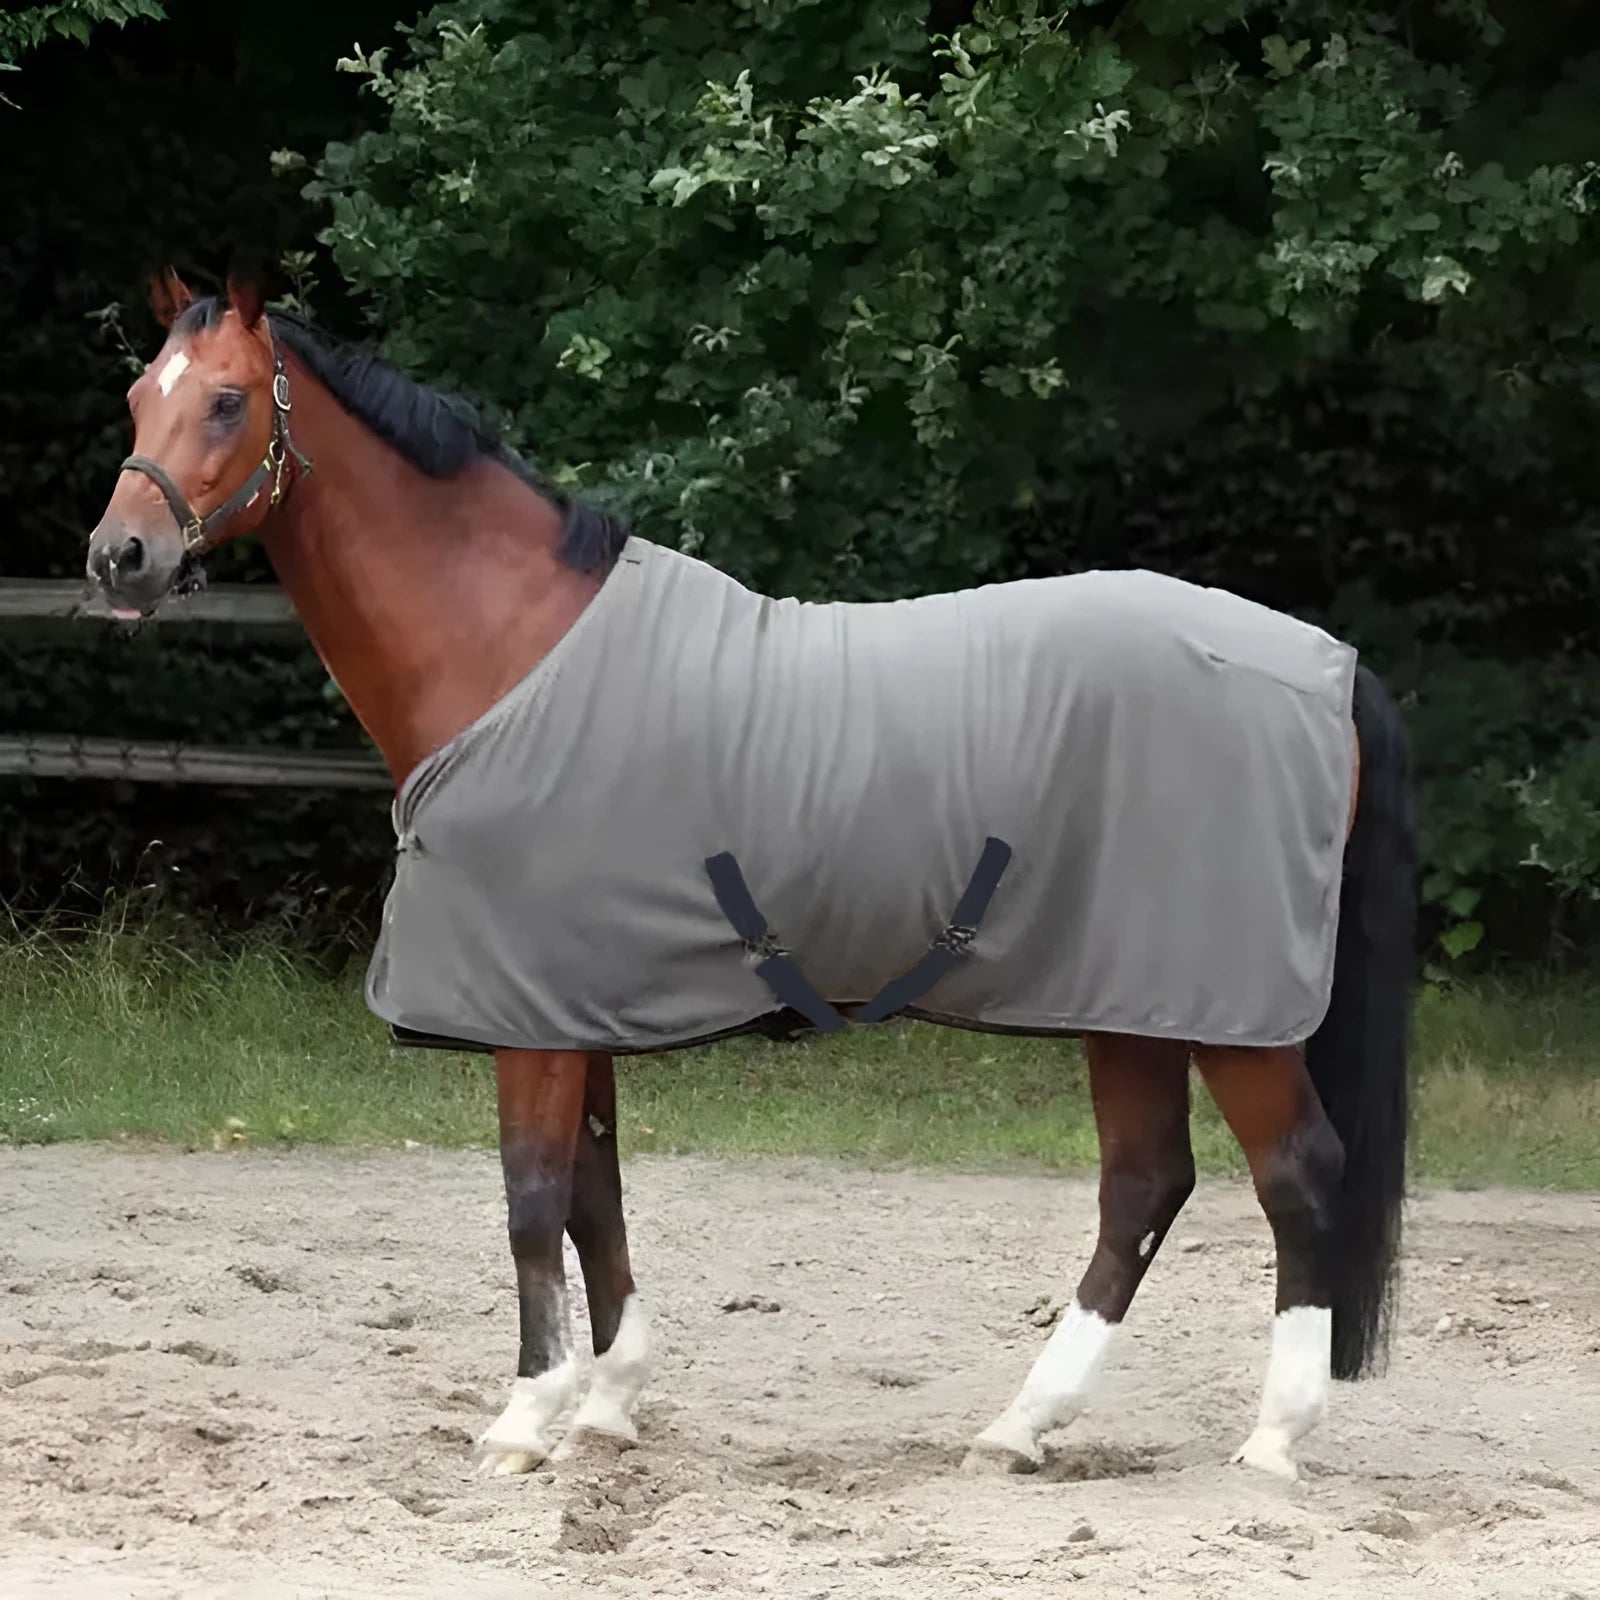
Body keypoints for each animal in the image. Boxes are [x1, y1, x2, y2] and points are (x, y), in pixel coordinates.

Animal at [86, 271, 1416, 1484]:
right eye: (137, 396)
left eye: (224, 401)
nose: (118, 556)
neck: (510, 647)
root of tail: (1328, 664)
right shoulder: (572, 1000)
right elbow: (594, 1192)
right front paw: (609, 1405)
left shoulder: (530, 1016)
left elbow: (530, 1196)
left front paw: (525, 1419)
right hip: (1129, 1001)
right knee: (1143, 1185)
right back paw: (1019, 1426)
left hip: (1228, 1015)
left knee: (1295, 1176)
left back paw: (1271, 1439)